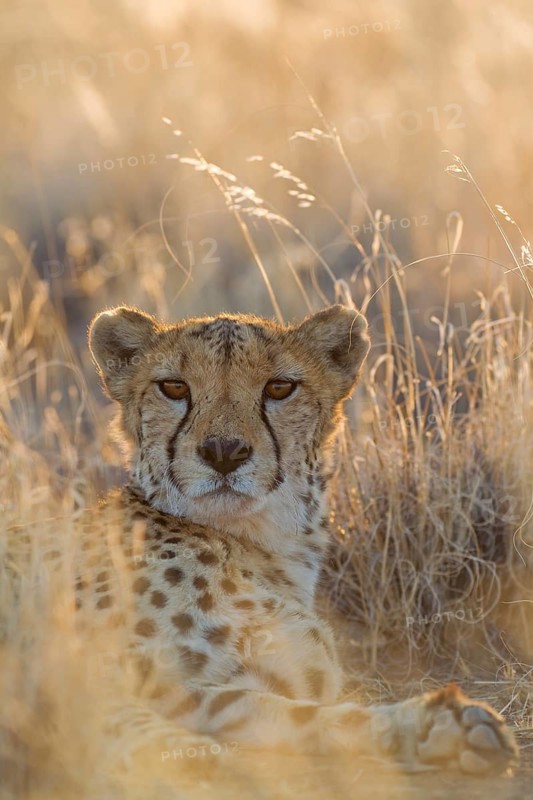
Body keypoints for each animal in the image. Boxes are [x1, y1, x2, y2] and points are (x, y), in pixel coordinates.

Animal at [74, 302, 518, 775]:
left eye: (280, 387)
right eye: (174, 387)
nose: (224, 452)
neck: (261, 543)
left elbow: (284, 713)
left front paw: (438, 730)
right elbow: (122, 719)